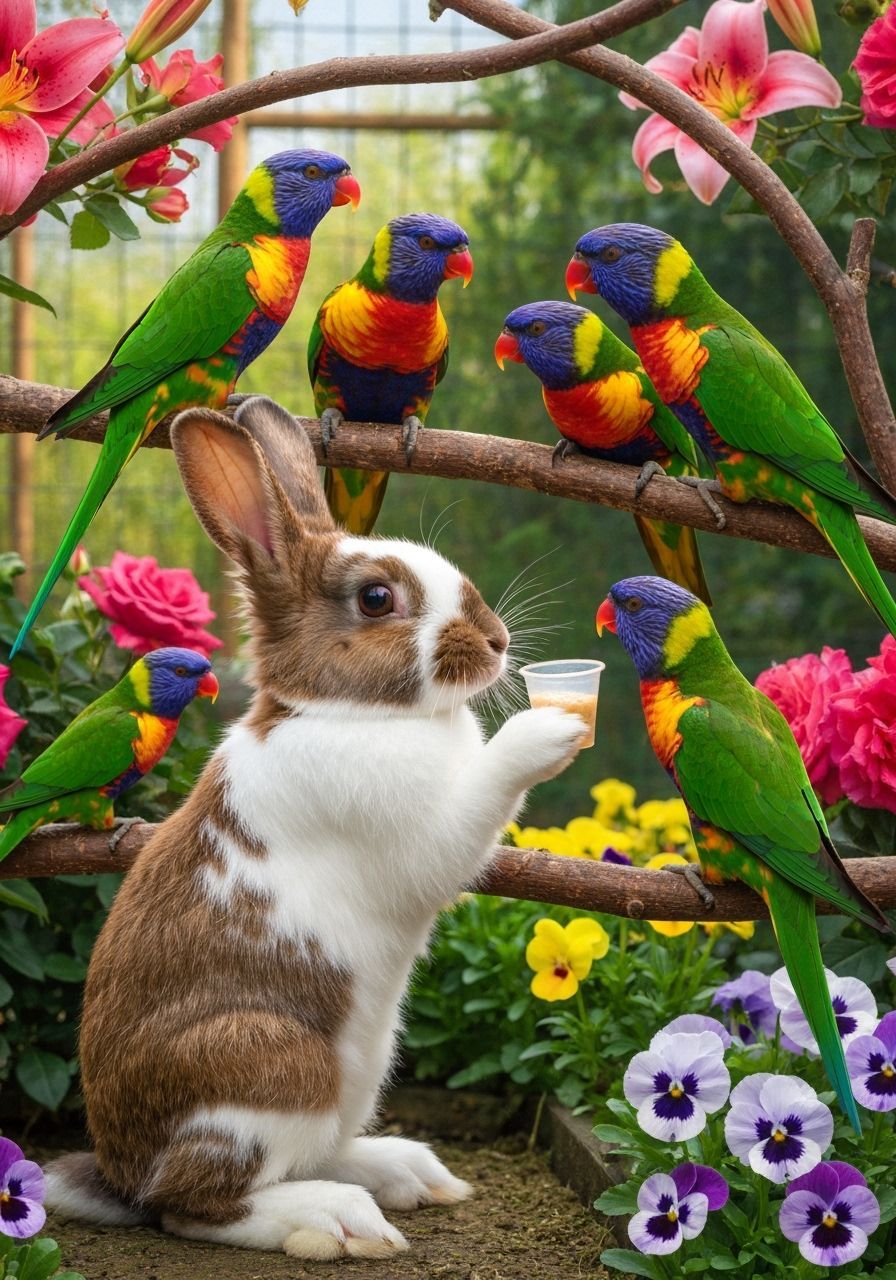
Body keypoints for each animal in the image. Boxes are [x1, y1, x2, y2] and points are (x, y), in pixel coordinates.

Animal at [44, 396, 585, 1261]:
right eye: (377, 599)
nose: (499, 642)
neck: (349, 713)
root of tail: (119, 1168)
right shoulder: (421, 838)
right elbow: (477, 804)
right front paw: (549, 731)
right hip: (277, 1070)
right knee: (193, 1204)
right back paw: (335, 1221)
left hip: (359, 1072)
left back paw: (406, 1172)